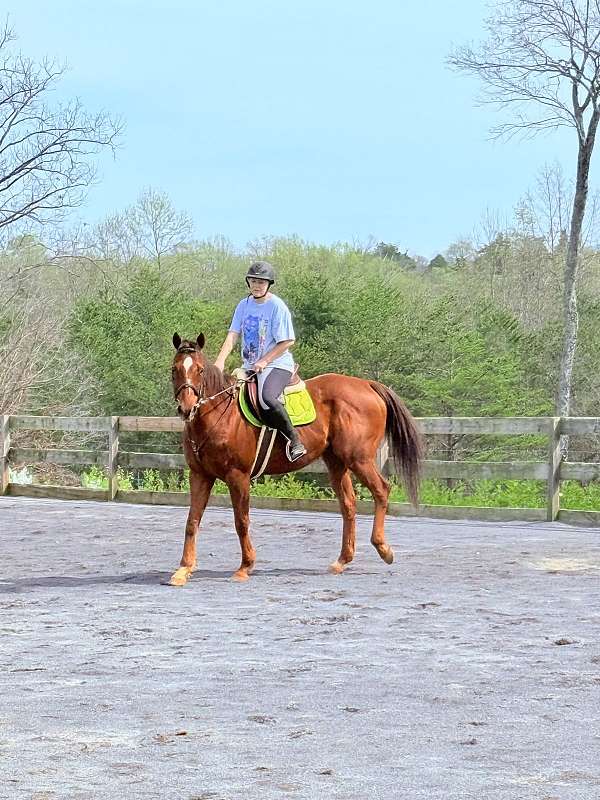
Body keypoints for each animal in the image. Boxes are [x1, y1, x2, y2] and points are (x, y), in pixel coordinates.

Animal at [169, 332, 423, 585]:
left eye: (200, 370)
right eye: (174, 369)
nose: (186, 408)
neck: (220, 415)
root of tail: (367, 385)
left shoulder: (238, 476)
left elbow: (241, 522)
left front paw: (245, 567)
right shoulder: (200, 475)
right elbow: (192, 521)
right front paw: (184, 569)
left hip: (359, 459)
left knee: (381, 490)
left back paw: (383, 549)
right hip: (337, 462)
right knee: (348, 504)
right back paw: (342, 560)